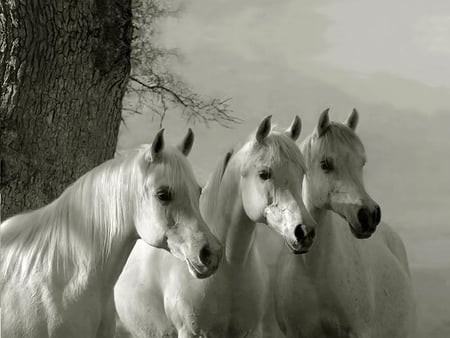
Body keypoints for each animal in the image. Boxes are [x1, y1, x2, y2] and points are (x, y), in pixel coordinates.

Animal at [112, 116, 316, 338]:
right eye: (264, 174)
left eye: (302, 172)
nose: (304, 231)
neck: (231, 267)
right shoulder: (191, 332)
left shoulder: (249, 332)